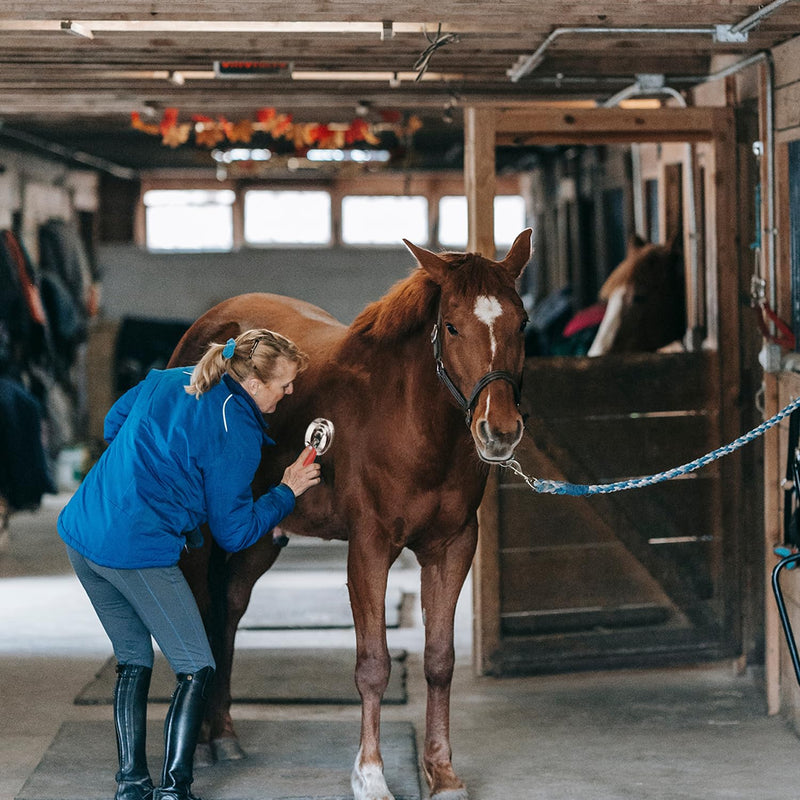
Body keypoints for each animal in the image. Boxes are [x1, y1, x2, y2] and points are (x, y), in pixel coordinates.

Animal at [167, 229, 532, 800]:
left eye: (522, 323)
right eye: (452, 325)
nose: (500, 431)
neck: (409, 421)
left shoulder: (452, 547)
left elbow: (440, 660)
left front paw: (442, 772)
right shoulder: (369, 548)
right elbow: (373, 665)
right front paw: (371, 775)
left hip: (258, 539)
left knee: (227, 610)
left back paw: (223, 734)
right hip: (201, 539)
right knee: (203, 614)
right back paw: (204, 744)